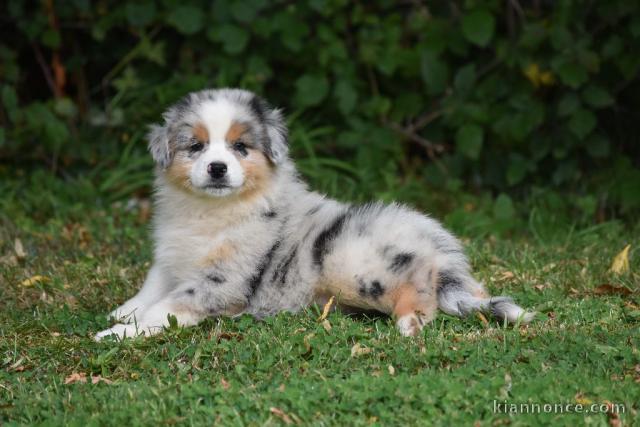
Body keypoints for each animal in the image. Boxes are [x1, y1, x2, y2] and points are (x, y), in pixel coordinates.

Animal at [95, 88, 536, 342]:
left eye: (240, 147)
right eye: (195, 147)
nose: (217, 169)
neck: (212, 209)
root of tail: (441, 251)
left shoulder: (221, 281)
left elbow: (164, 308)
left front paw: (117, 333)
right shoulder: (171, 255)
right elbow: (151, 287)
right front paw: (122, 312)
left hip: (358, 266)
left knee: (419, 282)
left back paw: (410, 321)